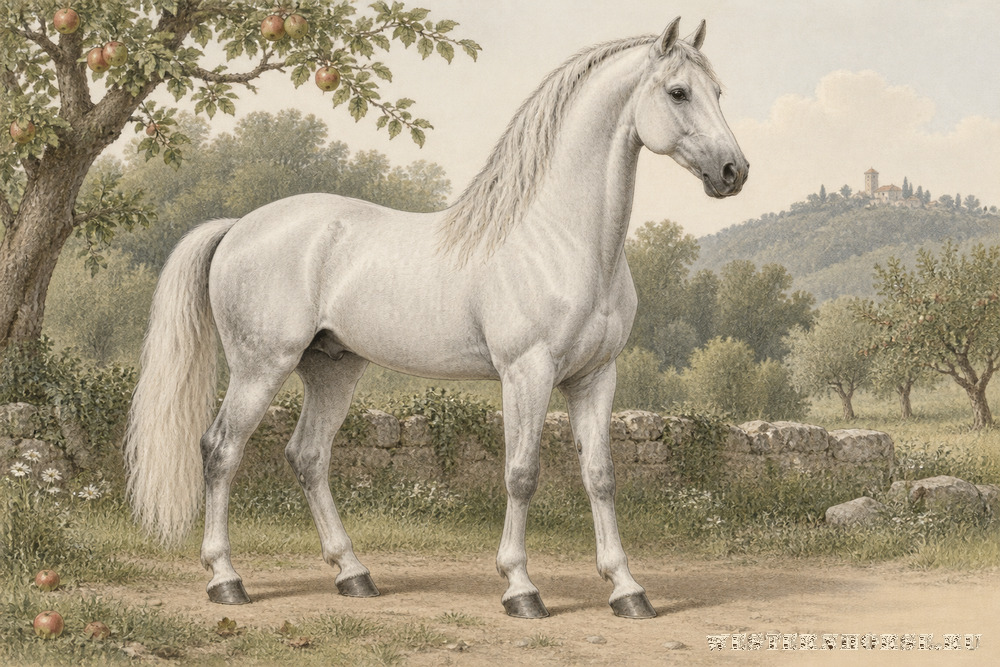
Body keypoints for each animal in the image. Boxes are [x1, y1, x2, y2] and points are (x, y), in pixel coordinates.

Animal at [124, 17, 747, 620]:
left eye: (719, 91)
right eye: (678, 92)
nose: (733, 171)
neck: (563, 239)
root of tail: (237, 227)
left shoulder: (596, 377)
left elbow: (601, 476)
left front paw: (627, 590)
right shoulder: (527, 373)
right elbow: (521, 474)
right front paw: (520, 589)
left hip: (332, 368)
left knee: (307, 456)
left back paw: (354, 575)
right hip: (260, 367)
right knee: (220, 451)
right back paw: (226, 580)